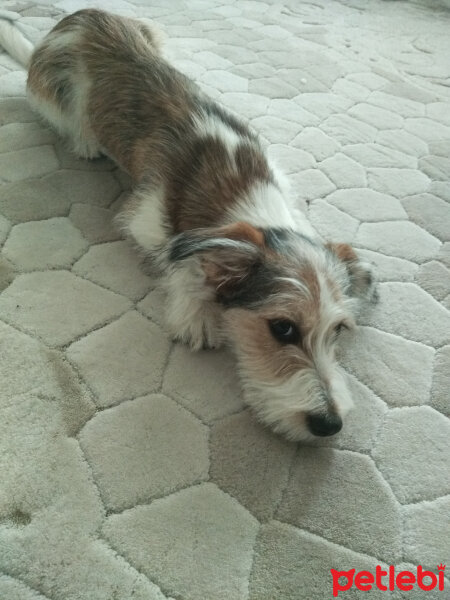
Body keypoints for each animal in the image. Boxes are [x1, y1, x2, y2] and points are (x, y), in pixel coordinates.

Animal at [0, 8, 378, 440]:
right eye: (283, 328)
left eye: (338, 330)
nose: (329, 425)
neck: (241, 184)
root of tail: (77, 18)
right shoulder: (145, 217)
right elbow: (178, 256)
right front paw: (197, 313)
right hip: (55, 96)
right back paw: (86, 141)